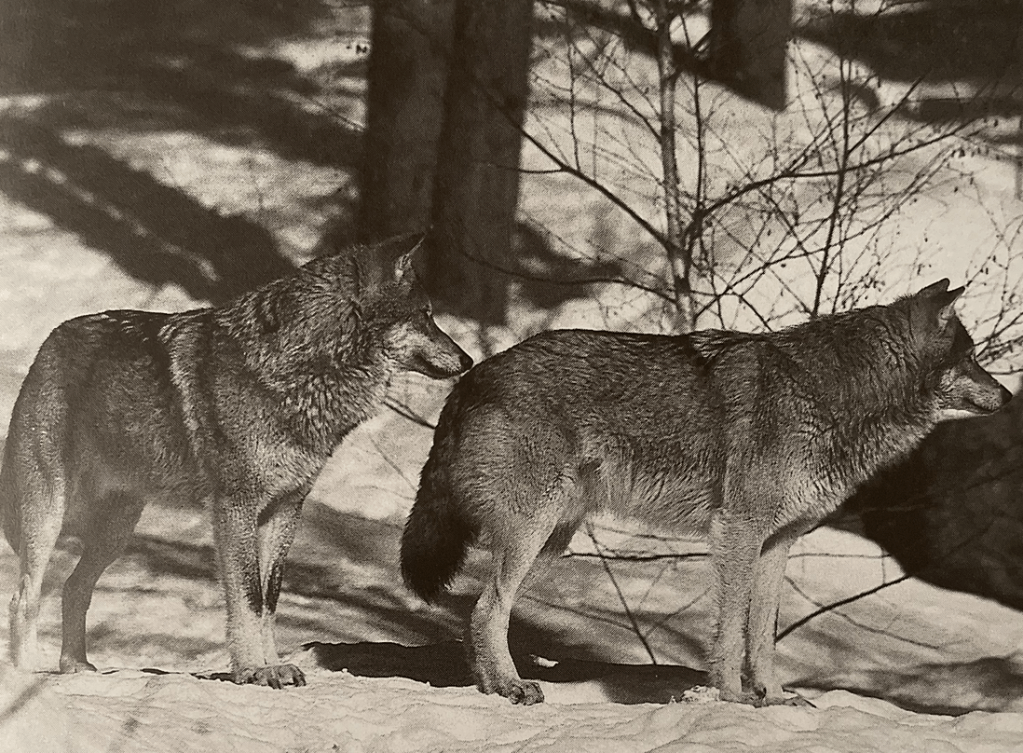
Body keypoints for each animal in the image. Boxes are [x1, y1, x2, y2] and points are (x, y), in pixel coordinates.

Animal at [2, 233, 472, 688]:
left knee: (73, 588)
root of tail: (49, 344)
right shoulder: (236, 508)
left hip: (116, 532)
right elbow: (246, 597)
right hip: (48, 517)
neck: (301, 371)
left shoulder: (284, 508)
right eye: (426, 315)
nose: (468, 360)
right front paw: (253, 671)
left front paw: (273, 666)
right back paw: (26, 676)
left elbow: (268, 600)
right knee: (25, 595)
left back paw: (76, 668)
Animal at [400, 279, 1012, 705]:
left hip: (551, 540)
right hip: (533, 532)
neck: (831, 394)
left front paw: (776, 700)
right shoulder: (738, 530)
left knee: (479, 614)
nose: (1008, 397)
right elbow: (732, 630)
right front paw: (733, 700)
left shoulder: (777, 545)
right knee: (487, 611)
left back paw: (491, 689)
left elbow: (763, 635)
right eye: (972, 358)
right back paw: (512, 689)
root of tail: (473, 374)